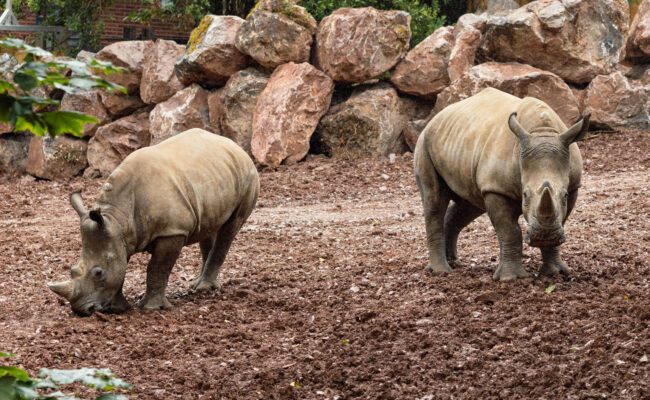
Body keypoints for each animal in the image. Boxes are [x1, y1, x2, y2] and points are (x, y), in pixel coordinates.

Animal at [49, 128, 259, 316]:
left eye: (98, 273)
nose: (81, 310)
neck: (116, 218)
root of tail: (235, 146)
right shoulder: (117, 236)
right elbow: (121, 267)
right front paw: (117, 308)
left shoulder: (172, 231)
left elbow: (157, 268)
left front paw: (152, 308)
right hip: (216, 175)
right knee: (209, 227)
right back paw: (198, 284)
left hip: (249, 177)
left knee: (230, 228)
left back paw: (204, 288)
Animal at [414, 88, 589, 281]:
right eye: (525, 195)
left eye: (564, 195)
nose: (544, 236)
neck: (542, 131)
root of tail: (435, 118)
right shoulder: (497, 190)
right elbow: (510, 232)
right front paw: (511, 278)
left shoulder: (574, 185)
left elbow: (561, 220)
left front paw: (556, 272)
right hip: (424, 143)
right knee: (434, 201)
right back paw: (442, 271)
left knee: (468, 205)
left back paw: (454, 262)